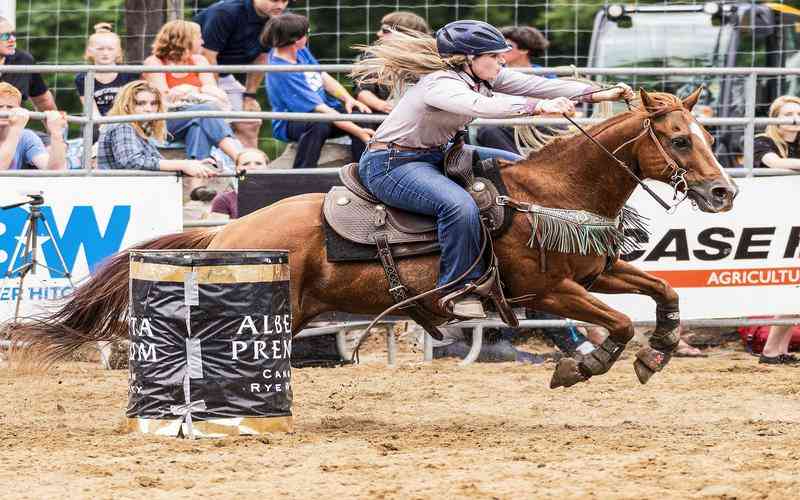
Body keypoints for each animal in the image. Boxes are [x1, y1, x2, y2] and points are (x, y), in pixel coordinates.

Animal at [12, 89, 736, 386]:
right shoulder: (549, 290)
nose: (723, 193)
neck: (549, 193)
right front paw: (583, 364)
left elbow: (664, 294)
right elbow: (616, 323)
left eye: (703, 134)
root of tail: (225, 232)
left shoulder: (590, 275)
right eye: (678, 140)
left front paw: (656, 352)